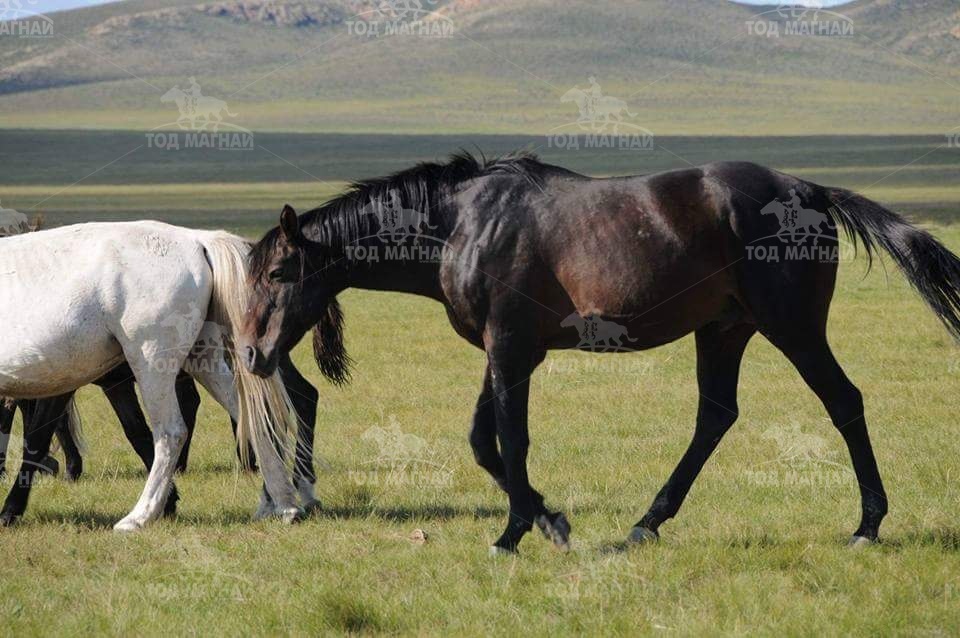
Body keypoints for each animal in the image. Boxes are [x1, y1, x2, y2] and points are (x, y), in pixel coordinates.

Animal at [0, 221, 311, 530]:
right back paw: (285, 506)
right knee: (253, 418)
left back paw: (139, 516)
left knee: (171, 433)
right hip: (204, 362)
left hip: (151, 363)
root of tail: (196, 239)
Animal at [240, 152, 960, 554]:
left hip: (794, 327)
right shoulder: (506, 352)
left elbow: (511, 439)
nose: (250, 356)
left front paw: (516, 533)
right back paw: (648, 523)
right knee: (715, 416)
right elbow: (483, 443)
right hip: (724, 330)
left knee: (843, 402)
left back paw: (867, 526)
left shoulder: (511, 350)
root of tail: (812, 191)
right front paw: (550, 522)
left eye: (276, 273)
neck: (464, 223)